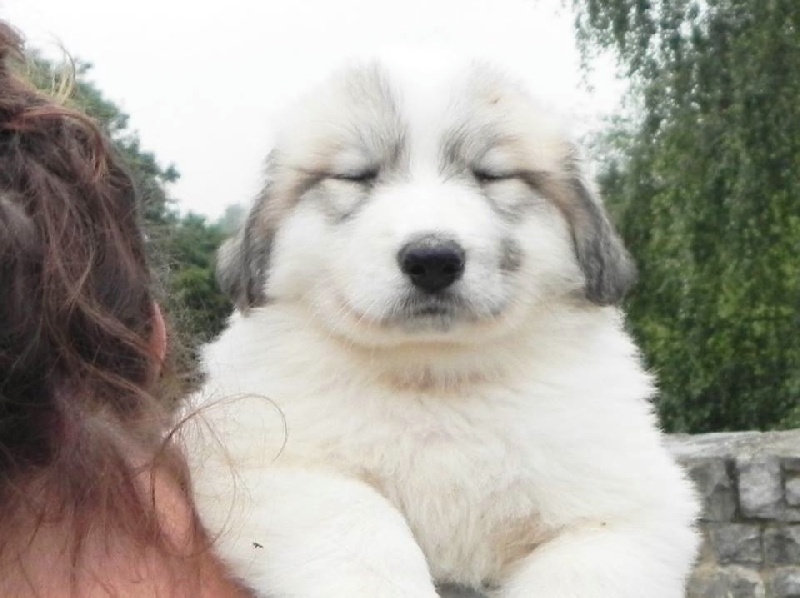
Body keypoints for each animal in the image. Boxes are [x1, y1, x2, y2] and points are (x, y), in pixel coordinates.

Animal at [183, 52, 700, 598]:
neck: (436, 380)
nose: (432, 259)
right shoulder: (266, 461)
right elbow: (360, 527)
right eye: (357, 176)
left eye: (492, 175)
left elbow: (584, 568)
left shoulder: (630, 511)